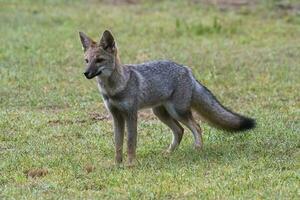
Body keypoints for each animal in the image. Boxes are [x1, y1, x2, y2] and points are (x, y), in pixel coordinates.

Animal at [78, 30, 254, 166]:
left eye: (99, 60)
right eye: (86, 61)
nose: (86, 73)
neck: (114, 89)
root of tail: (187, 70)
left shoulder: (131, 115)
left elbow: (130, 142)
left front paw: (130, 164)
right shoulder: (116, 116)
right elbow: (118, 144)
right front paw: (117, 164)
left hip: (177, 111)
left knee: (196, 127)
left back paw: (197, 149)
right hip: (160, 113)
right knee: (180, 130)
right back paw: (169, 153)